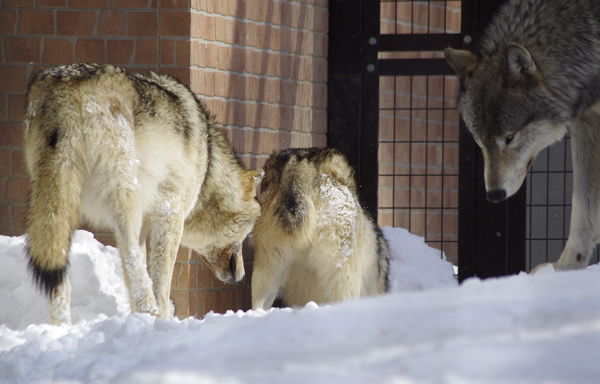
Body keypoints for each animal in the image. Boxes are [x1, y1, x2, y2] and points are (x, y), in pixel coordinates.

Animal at [25, 63, 264, 324]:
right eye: (247, 233)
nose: (241, 278)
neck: (208, 165)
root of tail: (66, 87)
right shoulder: (170, 213)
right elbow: (160, 282)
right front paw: (161, 318)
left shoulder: (148, 225)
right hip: (125, 199)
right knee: (131, 257)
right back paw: (148, 313)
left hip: (57, 201)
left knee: (61, 274)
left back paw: (63, 326)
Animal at [442, 0, 600, 272]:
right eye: (480, 142)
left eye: (509, 137)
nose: (494, 195)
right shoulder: (585, 121)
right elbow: (583, 207)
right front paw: (565, 267)